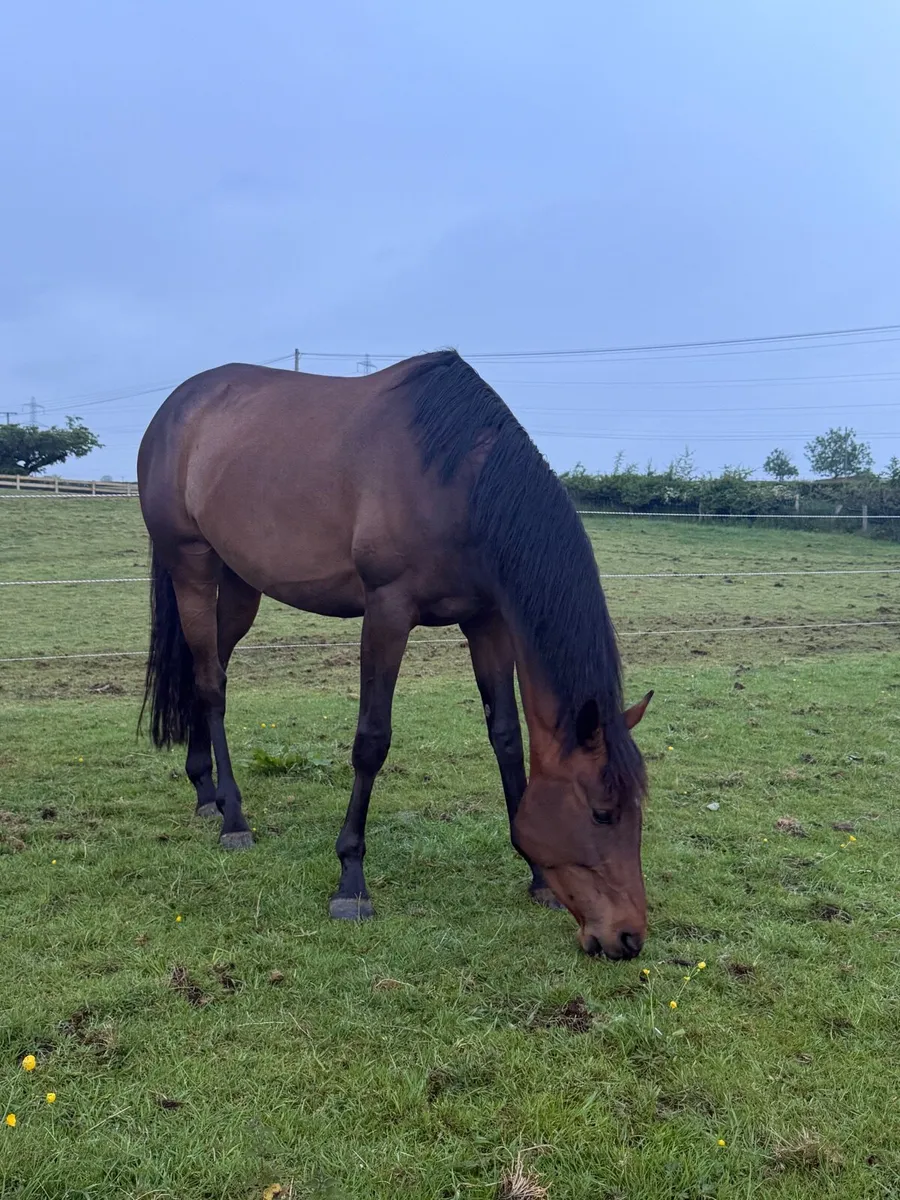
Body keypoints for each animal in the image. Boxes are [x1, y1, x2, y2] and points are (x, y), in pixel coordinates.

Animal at [137, 350, 652, 959]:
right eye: (602, 813)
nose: (628, 937)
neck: (457, 483)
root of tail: (177, 406)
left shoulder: (487, 621)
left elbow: (505, 735)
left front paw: (537, 878)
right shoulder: (387, 611)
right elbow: (372, 741)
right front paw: (351, 882)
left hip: (241, 583)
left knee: (207, 666)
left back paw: (205, 790)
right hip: (191, 565)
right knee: (211, 683)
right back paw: (233, 818)